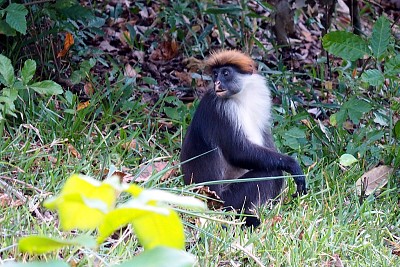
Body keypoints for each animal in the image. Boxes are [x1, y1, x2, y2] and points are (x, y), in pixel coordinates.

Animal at [181, 50, 306, 228]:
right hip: (225, 200)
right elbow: (238, 152)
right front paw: (293, 165)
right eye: (215, 74)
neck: (240, 96)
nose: (217, 82)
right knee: (272, 171)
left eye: (225, 73)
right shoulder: (223, 110)